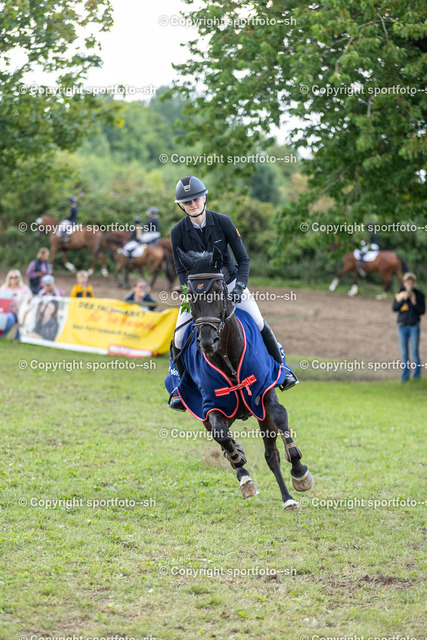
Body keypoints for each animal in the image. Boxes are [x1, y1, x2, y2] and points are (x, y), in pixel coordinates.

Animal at [172, 247, 314, 510]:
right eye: (192, 296)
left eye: (219, 291)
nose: (207, 342)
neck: (227, 354)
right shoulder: (210, 405)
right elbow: (221, 436)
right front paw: (238, 457)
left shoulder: (264, 391)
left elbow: (279, 416)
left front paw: (300, 472)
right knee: (225, 438)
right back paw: (245, 476)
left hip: (258, 413)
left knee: (271, 455)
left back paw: (288, 497)